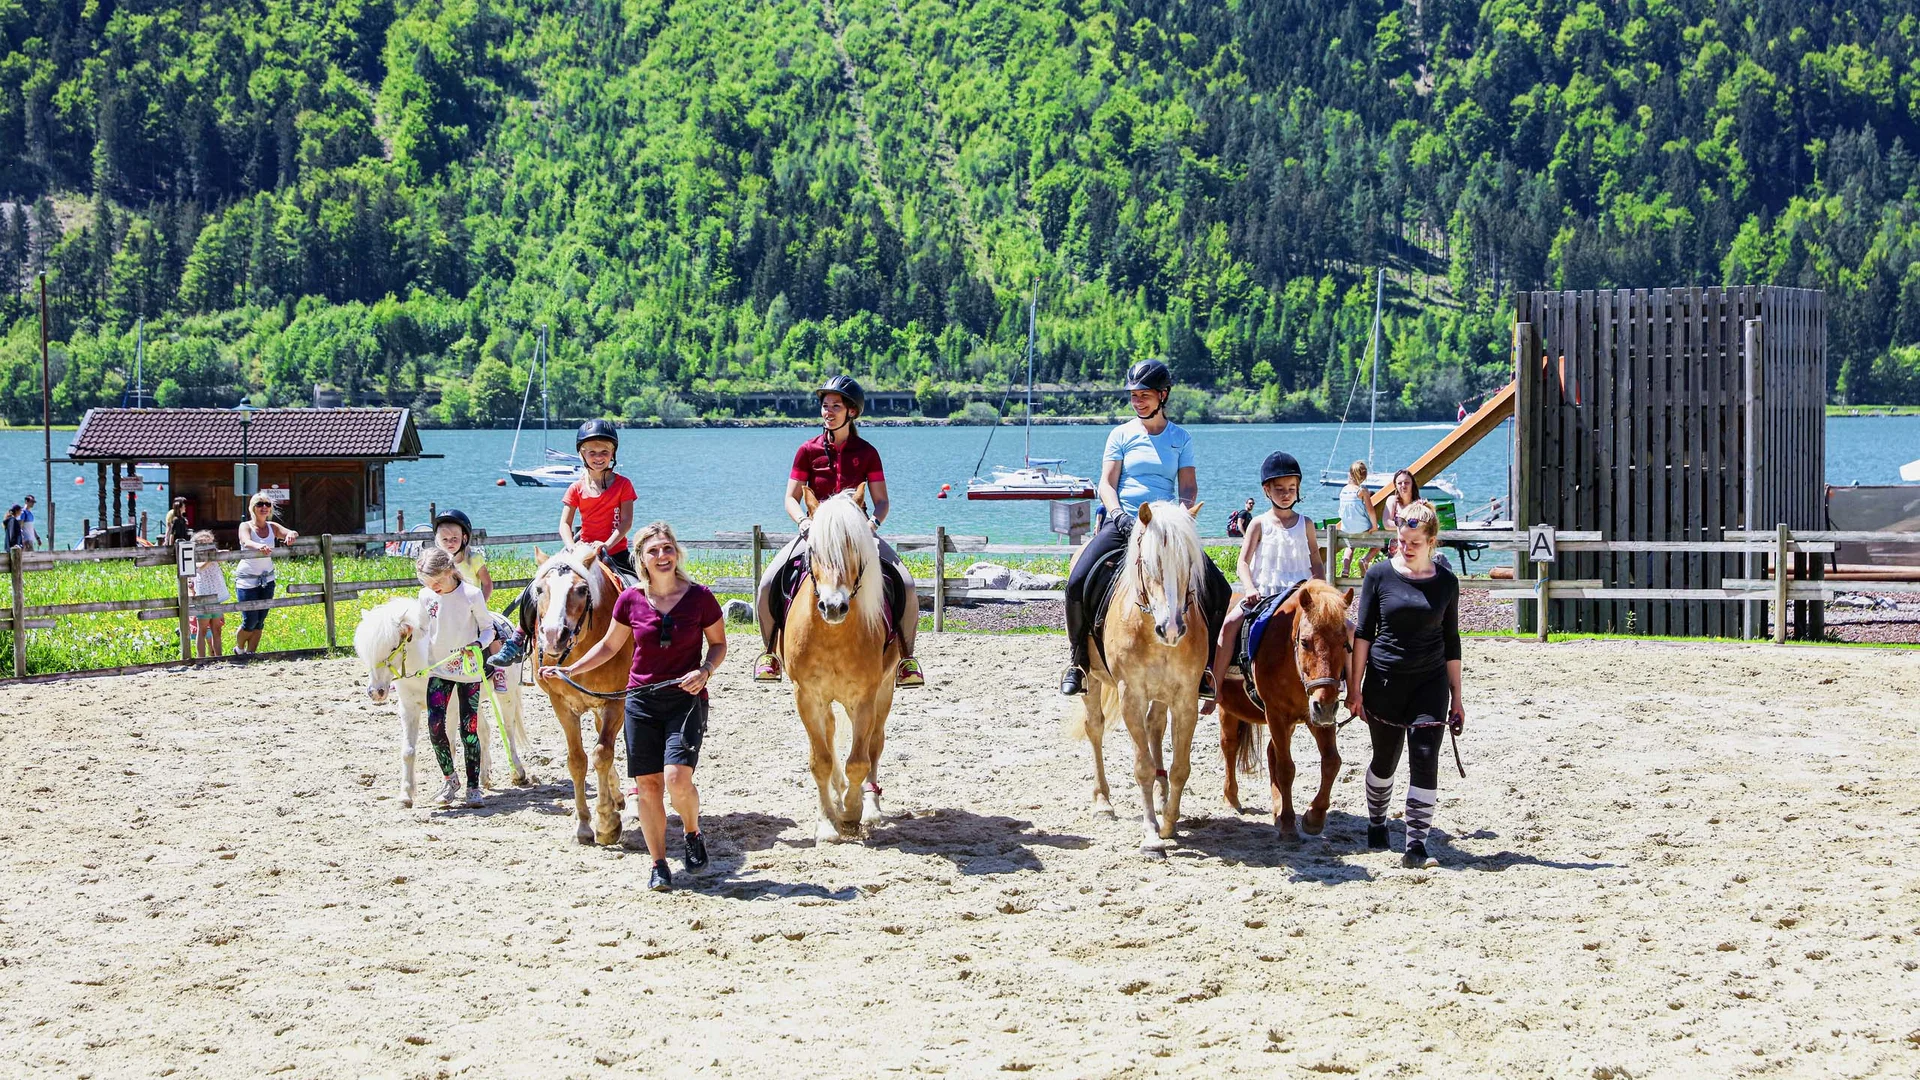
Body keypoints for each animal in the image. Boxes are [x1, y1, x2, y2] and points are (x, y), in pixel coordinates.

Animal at [352, 597, 536, 808]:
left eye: (392, 647)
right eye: (366, 652)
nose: (376, 692)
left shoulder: (451, 708)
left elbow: (451, 745)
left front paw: (448, 790)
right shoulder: (408, 708)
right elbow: (408, 751)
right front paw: (406, 795)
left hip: (506, 694)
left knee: (508, 729)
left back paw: (518, 773)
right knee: (484, 731)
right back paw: (484, 778)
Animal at [525, 544, 633, 845]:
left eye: (583, 590)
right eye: (540, 589)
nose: (553, 635)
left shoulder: (615, 700)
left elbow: (602, 754)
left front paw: (606, 823)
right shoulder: (561, 705)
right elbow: (577, 761)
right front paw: (584, 824)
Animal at [780, 484, 900, 844]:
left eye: (854, 546)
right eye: (813, 548)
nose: (833, 606)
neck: (832, 635)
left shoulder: (864, 698)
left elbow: (859, 760)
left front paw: (851, 813)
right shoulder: (806, 696)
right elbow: (820, 760)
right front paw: (827, 821)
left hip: (884, 692)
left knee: (875, 744)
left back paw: (869, 805)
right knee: (831, 735)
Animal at [1067, 501, 1210, 856]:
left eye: (1189, 562)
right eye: (1148, 563)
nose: (1171, 629)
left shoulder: (1185, 699)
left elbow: (1181, 766)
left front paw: (1169, 821)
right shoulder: (1130, 695)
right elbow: (1142, 766)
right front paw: (1150, 835)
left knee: (1154, 726)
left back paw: (1160, 796)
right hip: (1092, 678)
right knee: (1095, 728)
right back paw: (1102, 801)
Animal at [1215, 579, 1354, 840]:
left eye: (1345, 644)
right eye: (1305, 642)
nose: (1326, 706)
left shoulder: (1316, 715)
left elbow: (1332, 761)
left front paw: (1314, 817)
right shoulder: (1276, 714)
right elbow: (1286, 768)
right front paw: (1289, 823)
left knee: (1270, 752)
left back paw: (1276, 809)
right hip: (1228, 708)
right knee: (1229, 745)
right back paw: (1231, 798)